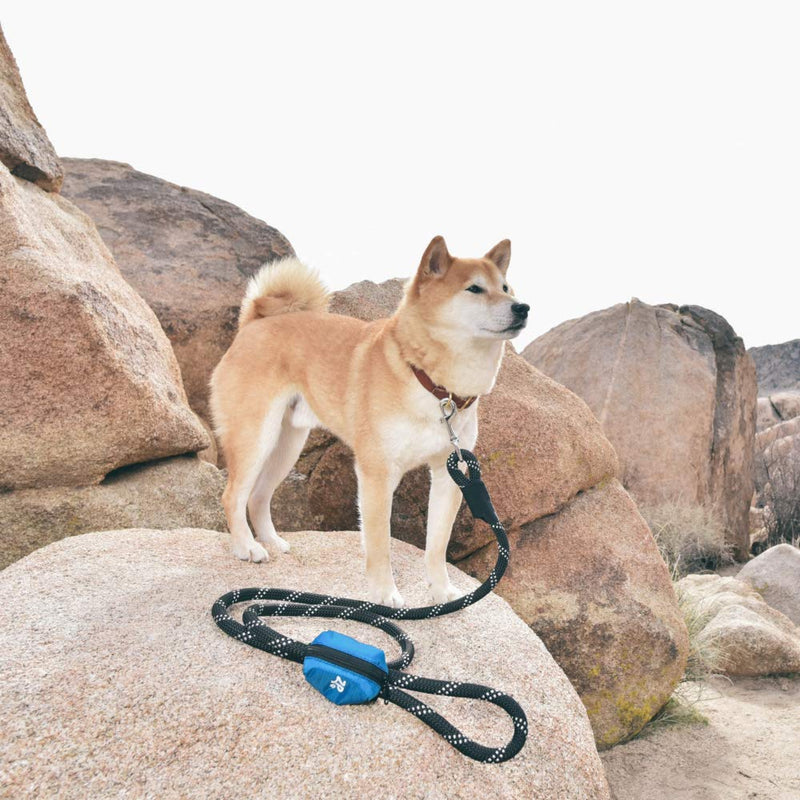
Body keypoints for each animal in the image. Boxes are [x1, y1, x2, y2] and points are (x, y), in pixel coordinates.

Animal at [209, 238, 528, 608]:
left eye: (505, 288)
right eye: (474, 288)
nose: (523, 307)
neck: (434, 385)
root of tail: (252, 324)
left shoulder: (449, 472)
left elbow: (436, 546)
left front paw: (442, 593)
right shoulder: (377, 472)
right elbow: (379, 544)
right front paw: (384, 594)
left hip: (287, 445)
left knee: (258, 497)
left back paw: (272, 542)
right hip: (256, 437)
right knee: (233, 495)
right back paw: (247, 547)